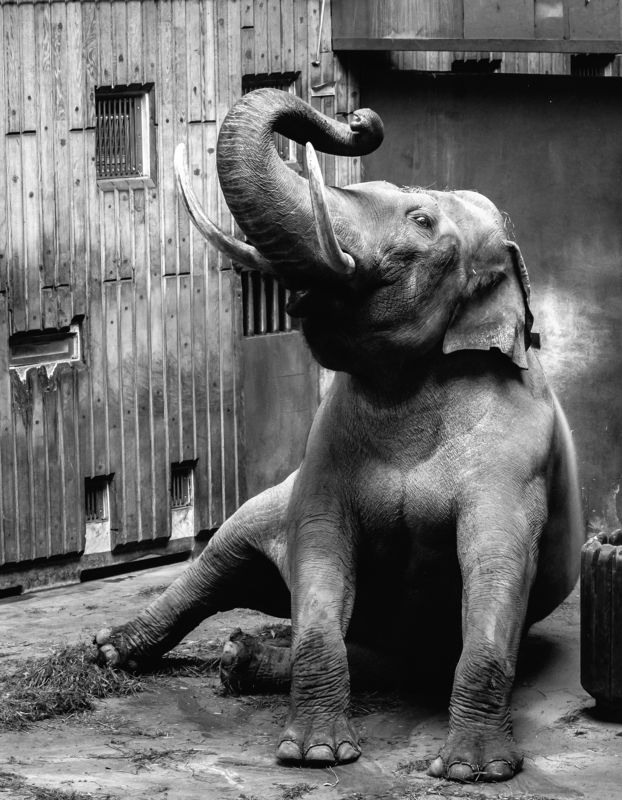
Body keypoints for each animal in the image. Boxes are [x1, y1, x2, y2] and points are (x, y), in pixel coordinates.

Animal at [95, 88, 584, 783]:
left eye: (420, 221)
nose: (359, 118)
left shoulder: (517, 462)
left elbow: (497, 563)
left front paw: (471, 770)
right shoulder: (322, 452)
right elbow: (321, 548)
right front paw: (316, 754)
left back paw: (240, 658)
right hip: (265, 504)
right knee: (220, 555)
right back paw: (119, 653)